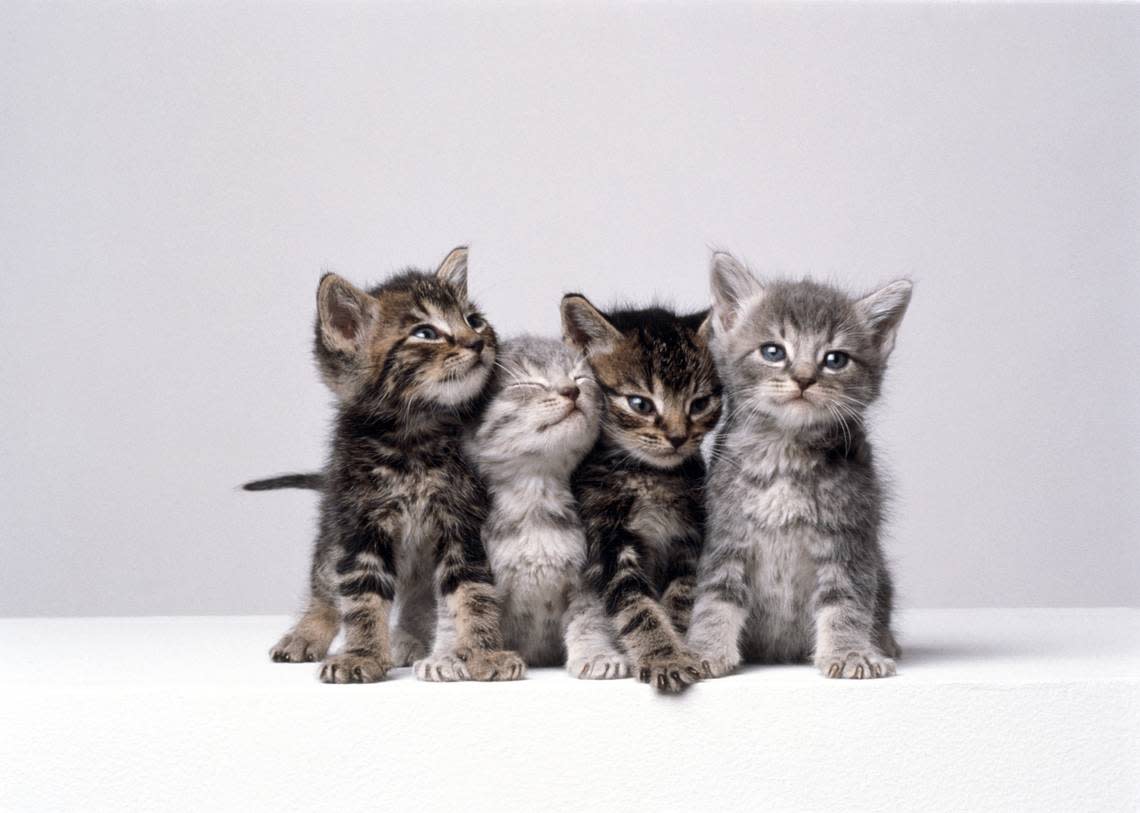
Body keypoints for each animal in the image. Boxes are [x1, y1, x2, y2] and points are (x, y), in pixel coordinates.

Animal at [269, 244, 526, 679]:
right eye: (425, 333)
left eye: (474, 320)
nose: (476, 342)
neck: (414, 439)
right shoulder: (360, 527)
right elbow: (362, 598)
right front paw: (362, 655)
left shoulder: (464, 525)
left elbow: (474, 592)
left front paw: (484, 652)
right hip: (333, 529)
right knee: (325, 586)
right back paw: (306, 633)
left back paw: (406, 639)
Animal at [465, 335, 633, 679]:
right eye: (528, 384)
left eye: (580, 378)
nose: (571, 391)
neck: (536, 503)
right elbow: (461, 612)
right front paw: (448, 656)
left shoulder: (589, 577)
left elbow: (590, 619)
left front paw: (597, 654)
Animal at [560, 294, 720, 688]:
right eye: (640, 404)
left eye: (699, 404)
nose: (677, 437)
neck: (648, 475)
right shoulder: (606, 538)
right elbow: (635, 604)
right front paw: (664, 656)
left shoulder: (689, 536)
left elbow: (681, 595)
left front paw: (681, 645)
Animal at [679, 251, 912, 679]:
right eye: (773, 352)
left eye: (835, 359)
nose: (804, 378)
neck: (785, 455)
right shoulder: (725, 536)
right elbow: (715, 598)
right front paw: (704, 649)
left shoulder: (850, 538)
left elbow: (846, 601)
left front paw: (849, 652)